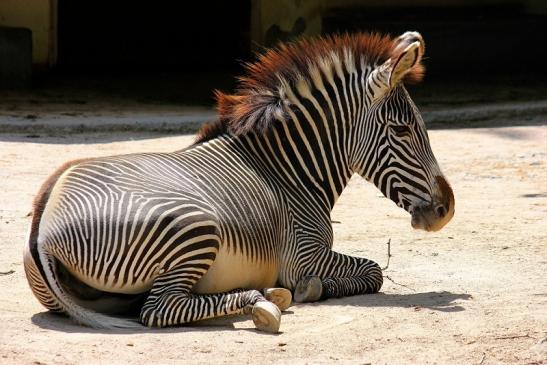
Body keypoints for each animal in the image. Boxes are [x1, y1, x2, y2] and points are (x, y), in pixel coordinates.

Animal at [23, 32, 454, 332]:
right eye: (401, 130)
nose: (446, 209)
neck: (286, 171)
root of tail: (45, 222)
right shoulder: (304, 256)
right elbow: (373, 271)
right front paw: (313, 288)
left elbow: (371, 270)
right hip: (195, 227)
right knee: (159, 309)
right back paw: (262, 302)